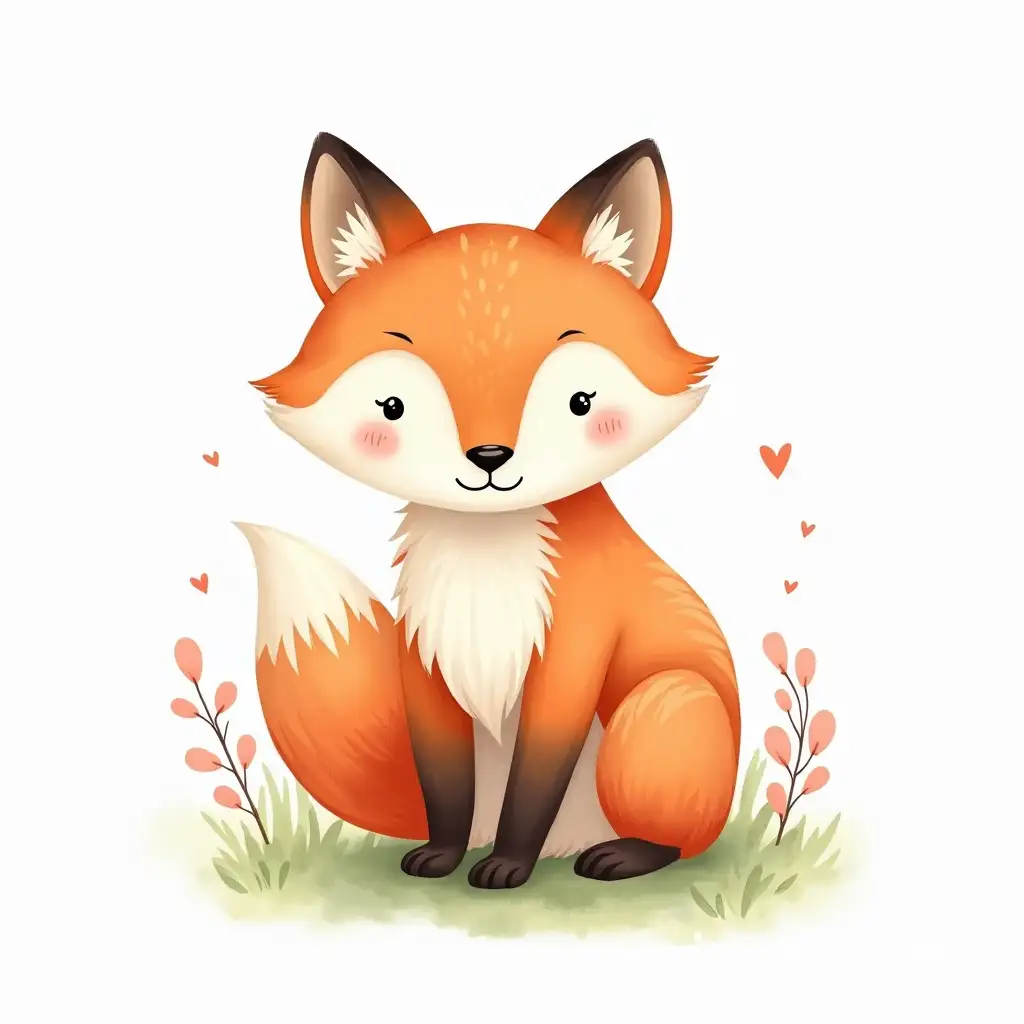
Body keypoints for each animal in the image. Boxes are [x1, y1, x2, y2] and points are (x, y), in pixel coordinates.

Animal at [236, 133, 740, 889]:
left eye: (581, 403)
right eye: (392, 408)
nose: (490, 458)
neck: (485, 560)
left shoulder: (570, 656)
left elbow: (533, 785)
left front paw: (507, 866)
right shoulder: (425, 661)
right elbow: (445, 782)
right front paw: (442, 857)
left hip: (661, 709)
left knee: (681, 839)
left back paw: (621, 854)